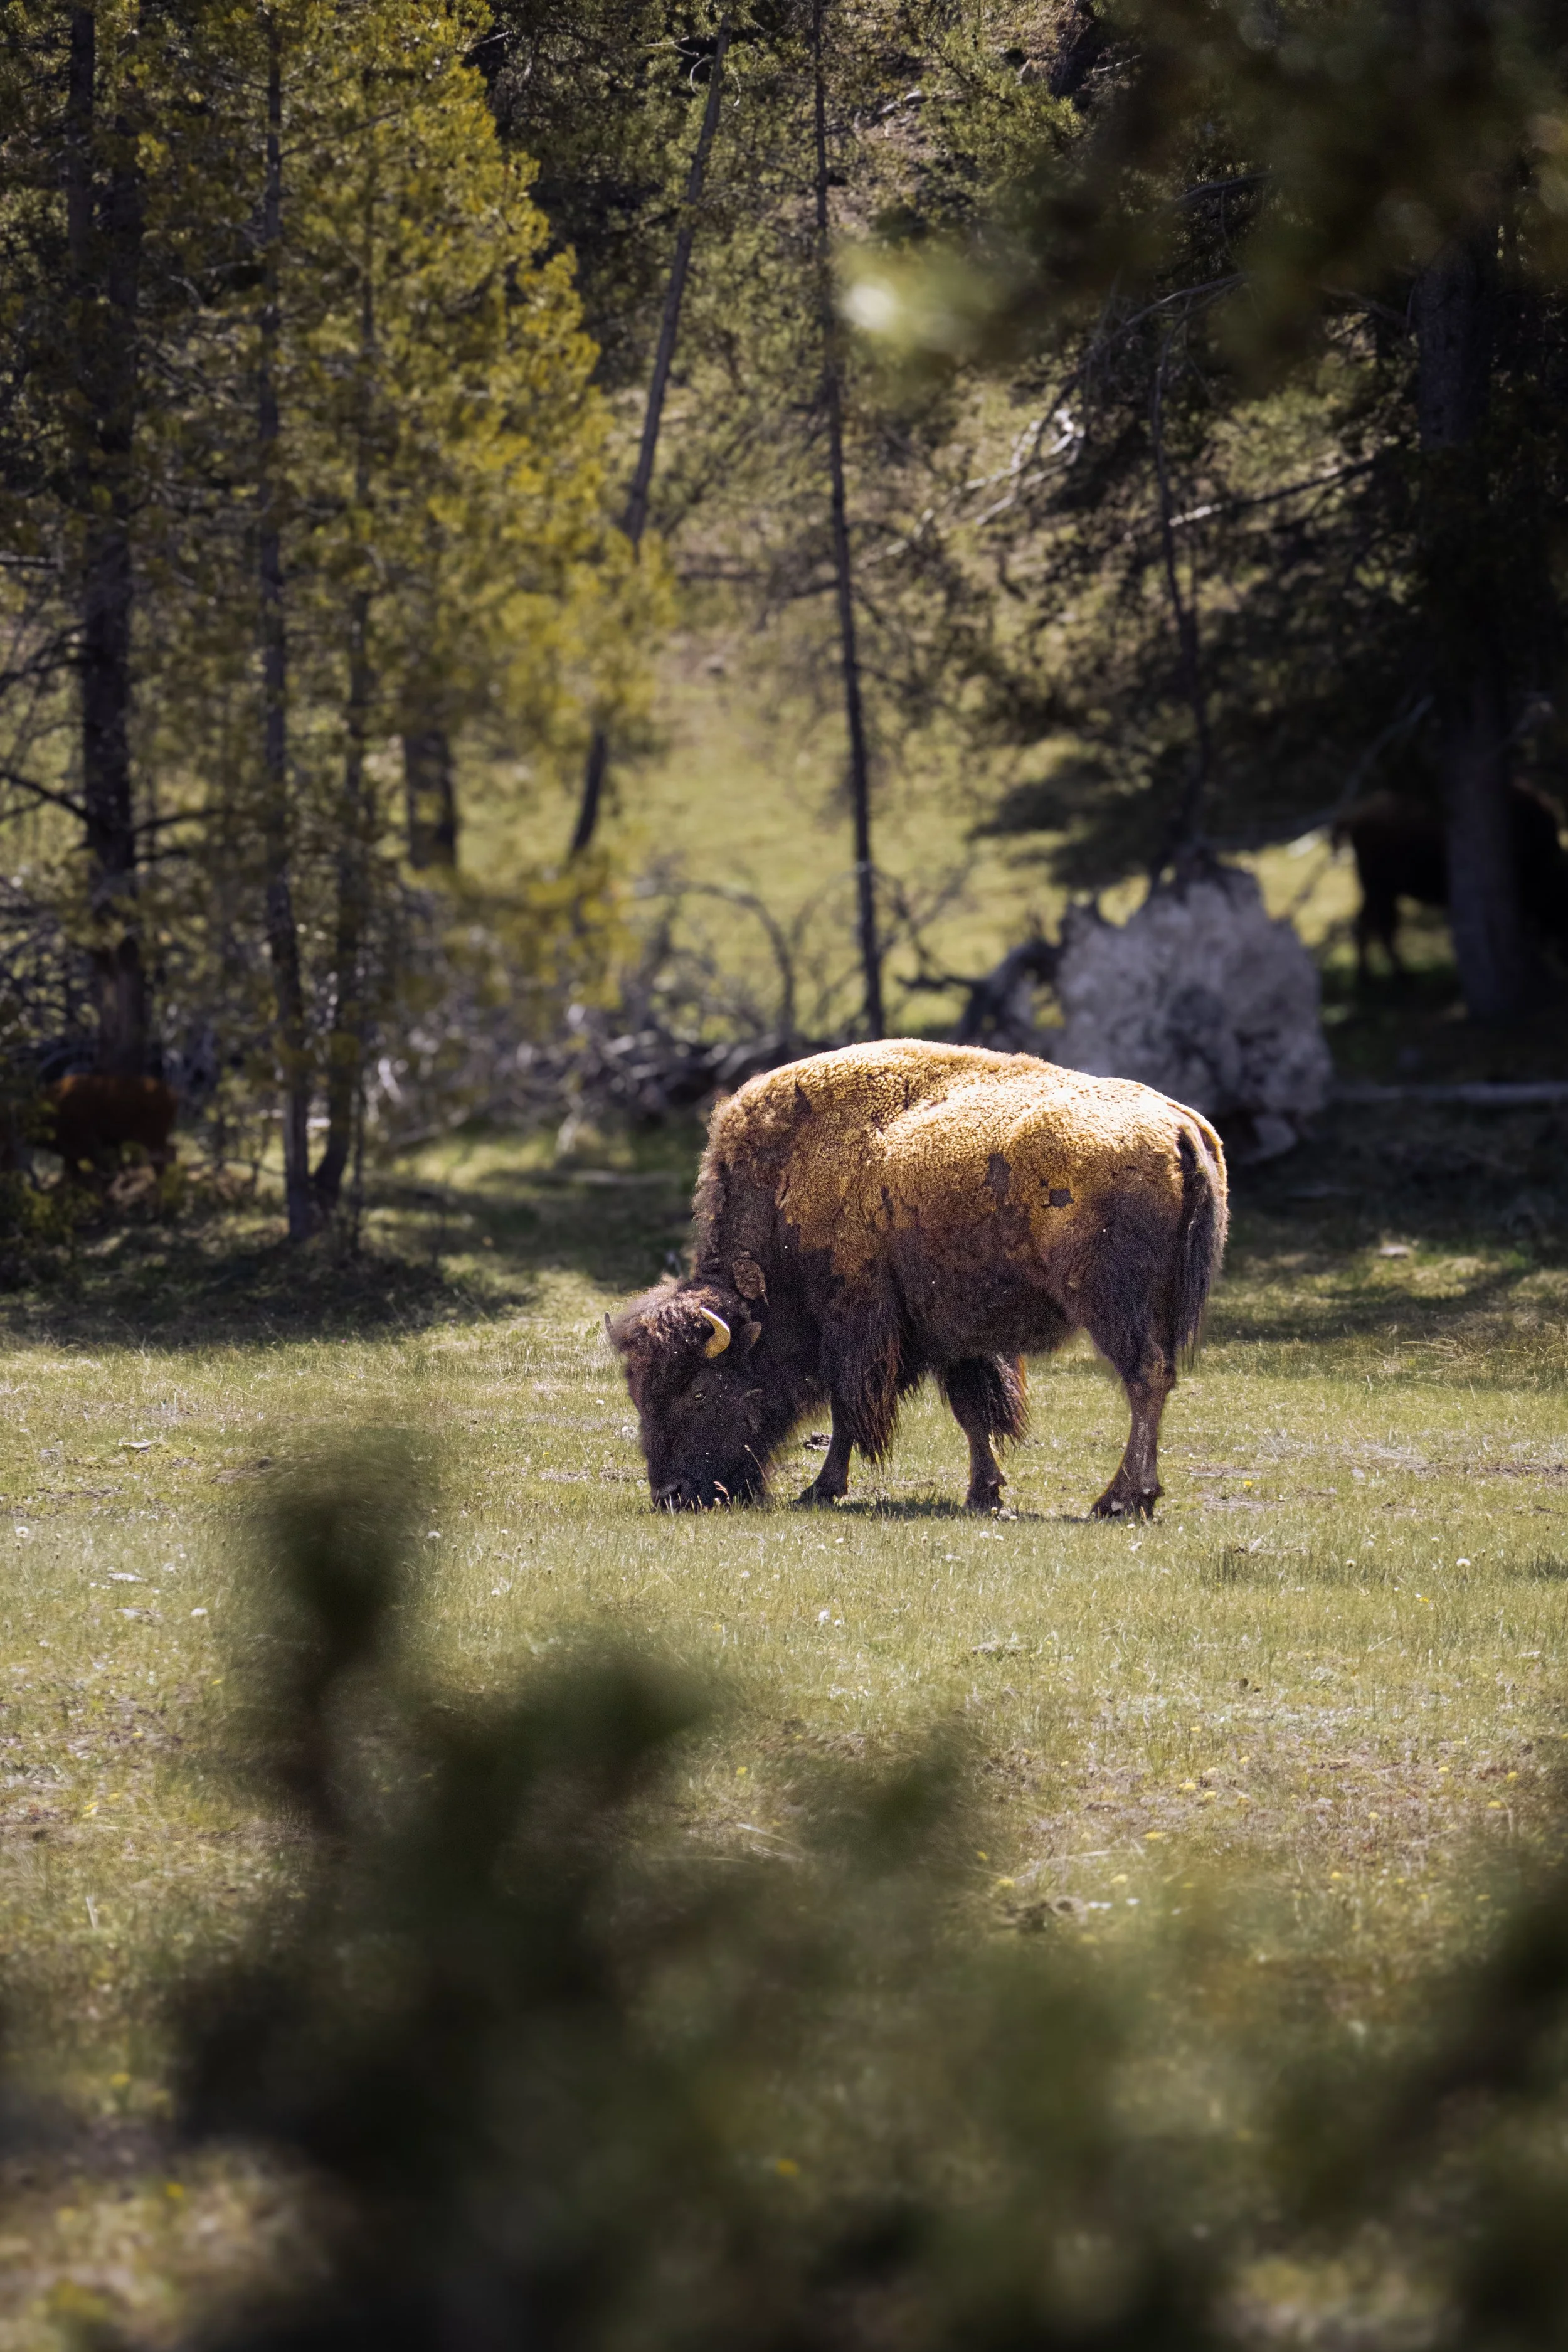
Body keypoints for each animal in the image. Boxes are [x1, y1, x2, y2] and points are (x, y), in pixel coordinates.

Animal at [608, 1040, 1227, 1519]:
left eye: (699, 1389)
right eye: (638, 1393)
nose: (671, 1495)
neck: (783, 1191)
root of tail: (1180, 1125)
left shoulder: (858, 1328)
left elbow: (849, 1409)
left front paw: (821, 1489)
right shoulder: (956, 1333)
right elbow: (973, 1411)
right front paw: (984, 1494)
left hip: (1110, 1304)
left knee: (1145, 1377)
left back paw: (1121, 1500)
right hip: (1154, 1304)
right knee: (1156, 1376)